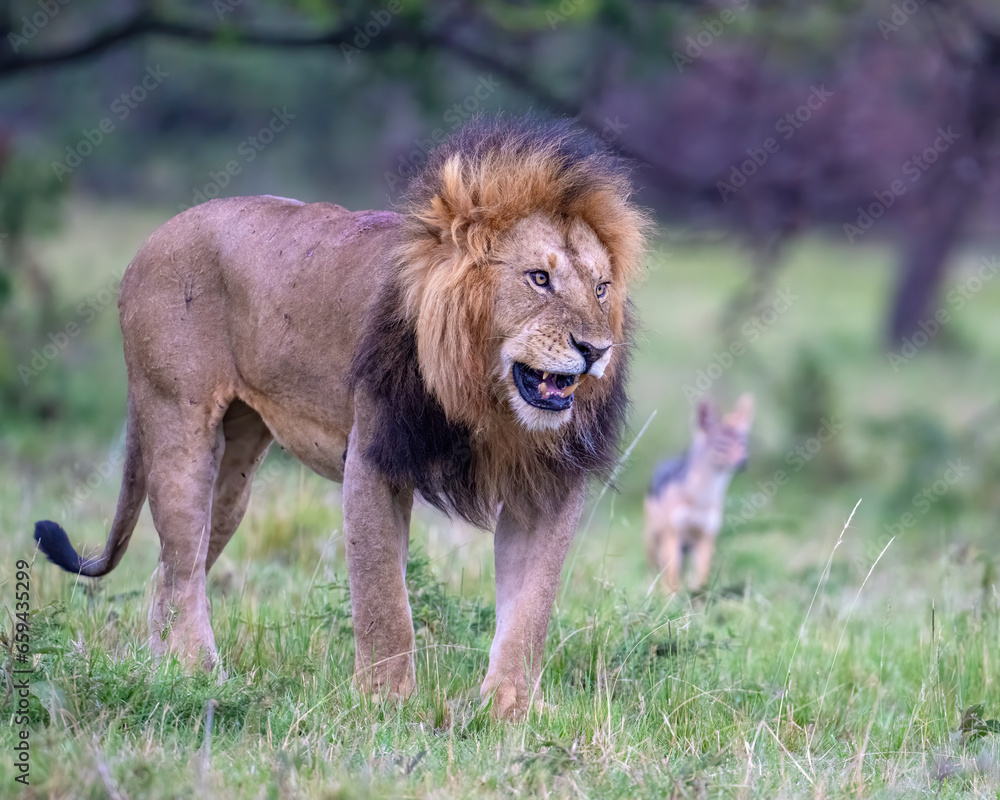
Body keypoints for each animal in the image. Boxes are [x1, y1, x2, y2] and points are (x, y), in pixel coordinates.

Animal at [33, 116, 649, 719]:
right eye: (538, 278)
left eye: (601, 288)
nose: (596, 349)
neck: (488, 402)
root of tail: (153, 238)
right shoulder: (374, 460)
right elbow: (383, 597)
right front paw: (385, 703)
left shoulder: (546, 487)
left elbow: (531, 609)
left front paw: (512, 710)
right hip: (179, 428)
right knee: (182, 566)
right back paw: (201, 678)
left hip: (233, 476)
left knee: (168, 572)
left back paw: (164, 670)